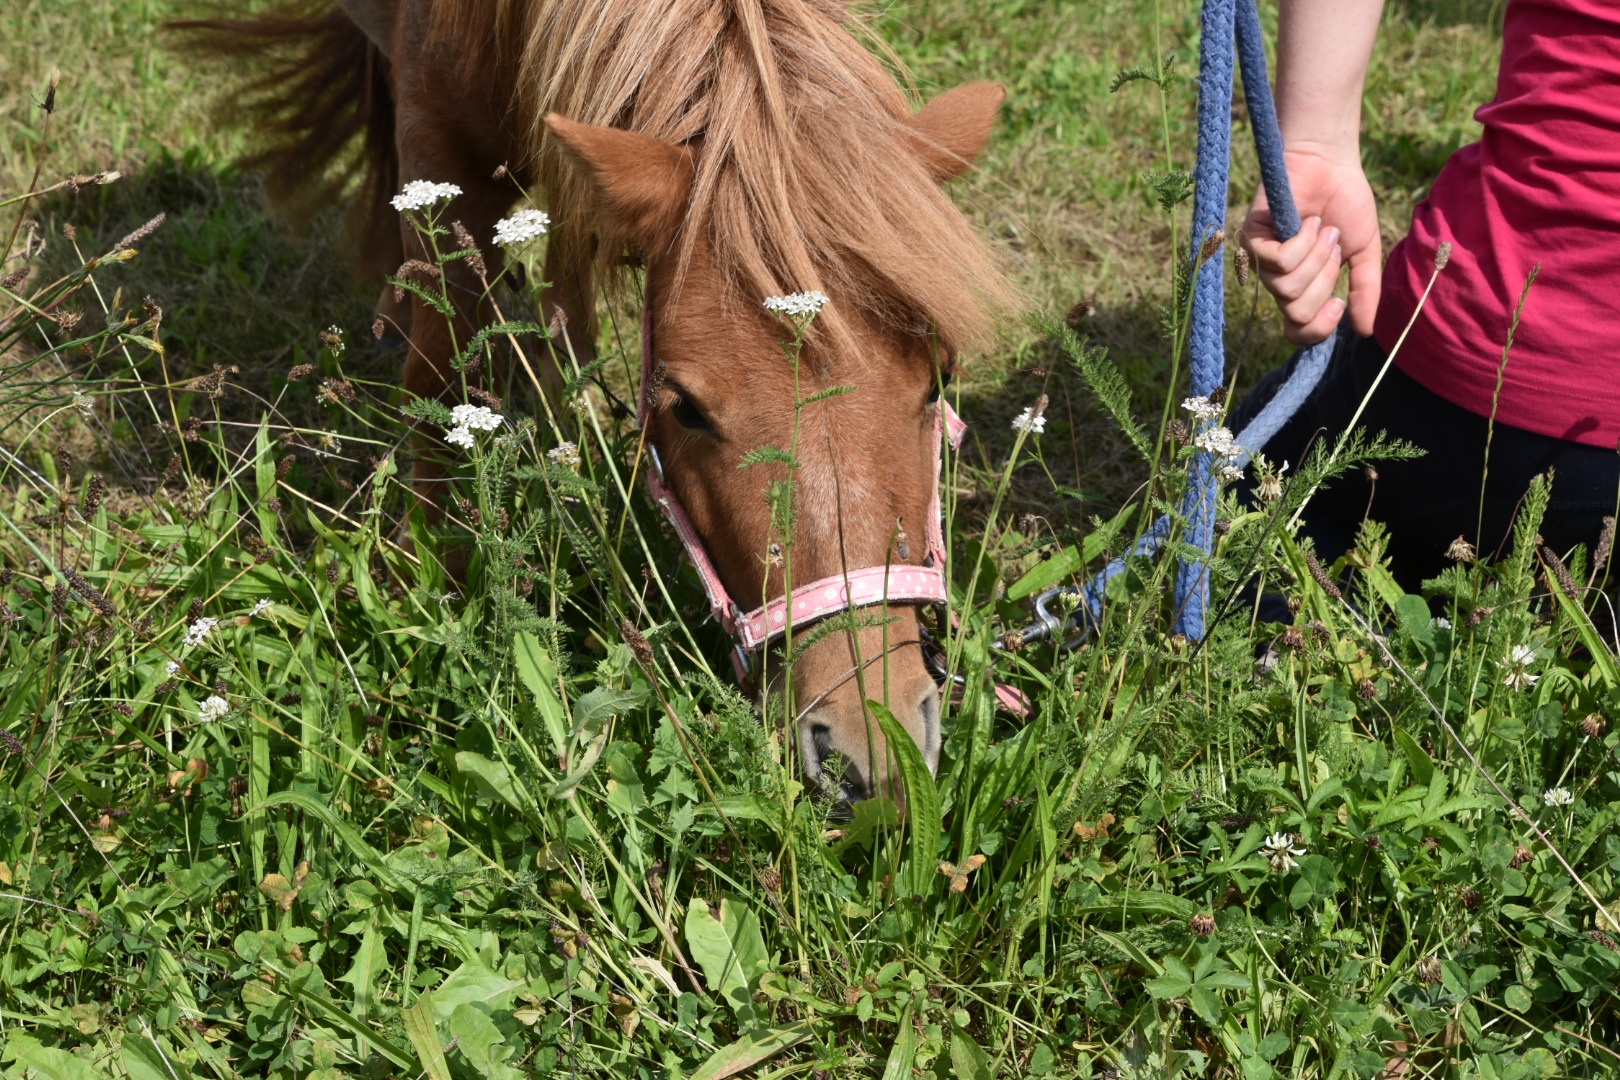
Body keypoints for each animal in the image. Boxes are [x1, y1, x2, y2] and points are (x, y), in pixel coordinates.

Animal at [175, 0, 1018, 803]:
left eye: (938, 381)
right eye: (684, 408)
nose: (868, 755)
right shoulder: (445, 152)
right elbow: (441, 371)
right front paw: (437, 587)